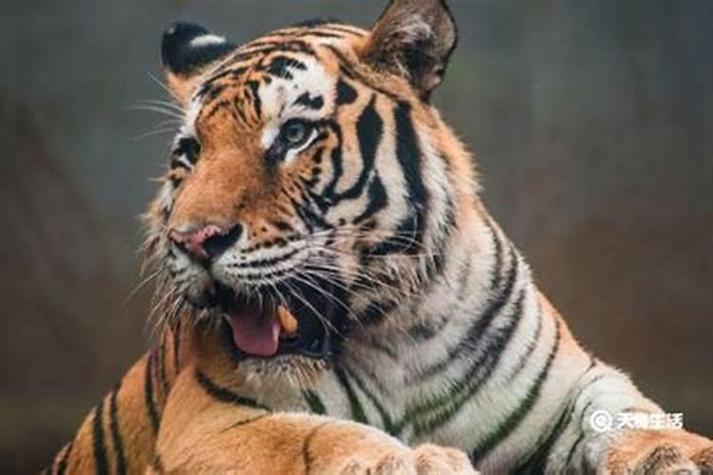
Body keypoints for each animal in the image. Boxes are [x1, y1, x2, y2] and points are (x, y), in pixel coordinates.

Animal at [46, 0, 713, 473]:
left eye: (293, 135)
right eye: (190, 154)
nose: (193, 240)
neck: (400, 333)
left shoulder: (577, 380)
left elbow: (632, 416)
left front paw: (681, 453)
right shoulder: (210, 421)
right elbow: (317, 438)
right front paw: (419, 462)